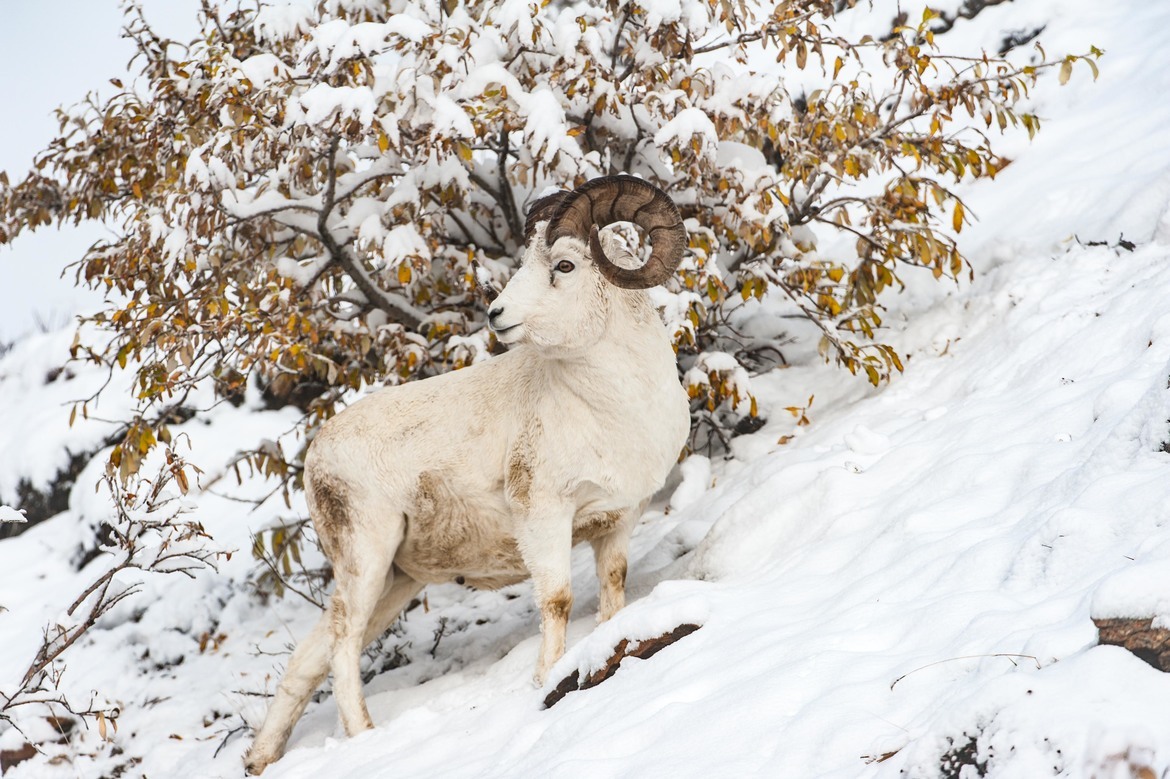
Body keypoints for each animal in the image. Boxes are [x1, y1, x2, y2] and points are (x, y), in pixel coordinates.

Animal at [243, 175, 691, 774]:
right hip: (367, 559)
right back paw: (364, 735)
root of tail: (316, 458)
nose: (497, 314)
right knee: (342, 645)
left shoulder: (617, 523)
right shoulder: (543, 518)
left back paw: (259, 759)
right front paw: (545, 679)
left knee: (309, 657)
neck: (616, 408)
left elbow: (612, 590)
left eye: (565, 265)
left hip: (395, 580)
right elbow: (557, 601)